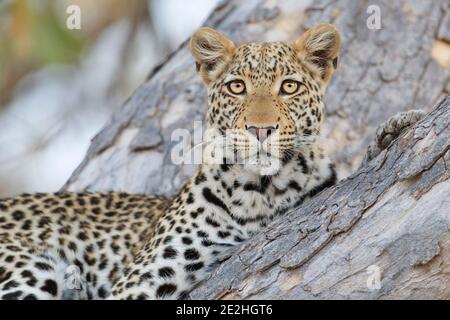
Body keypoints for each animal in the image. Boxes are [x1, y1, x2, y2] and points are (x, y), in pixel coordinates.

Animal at [0, 23, 424, 298]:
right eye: (237, 87)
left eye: (289, 87)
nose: (260, 129)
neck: (264, 191)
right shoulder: (141, 281)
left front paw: (394, 131)